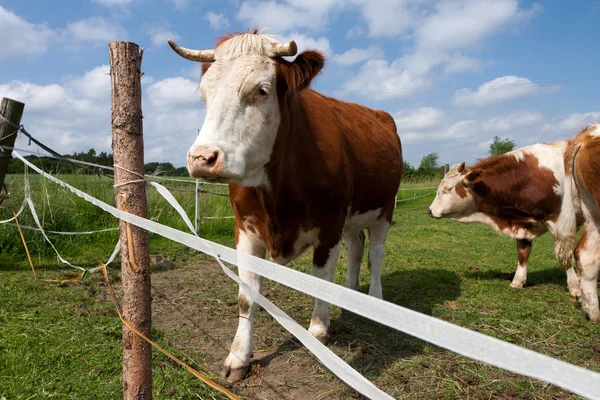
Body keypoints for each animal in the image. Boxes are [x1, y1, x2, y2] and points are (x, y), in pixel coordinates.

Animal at [169, 30, 404, 382]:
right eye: (205, 94)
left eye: (261, 91)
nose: (201, 158)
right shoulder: (245, 229)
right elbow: (246, 296)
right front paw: (238, 357)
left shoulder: (329, 226)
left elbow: (320, 281)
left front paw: (318, 332)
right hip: (352, 217)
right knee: (357, 246)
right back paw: (349, 297)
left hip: (384, 208)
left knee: (375, 253)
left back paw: (375, 300)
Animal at [426, 142, 580, 298]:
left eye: (448, 188)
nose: (430, 210)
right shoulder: (522, 225)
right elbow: (523, 254)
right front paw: (517, 282)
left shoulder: (560, 224)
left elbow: (565, 256)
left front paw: (575, 288)